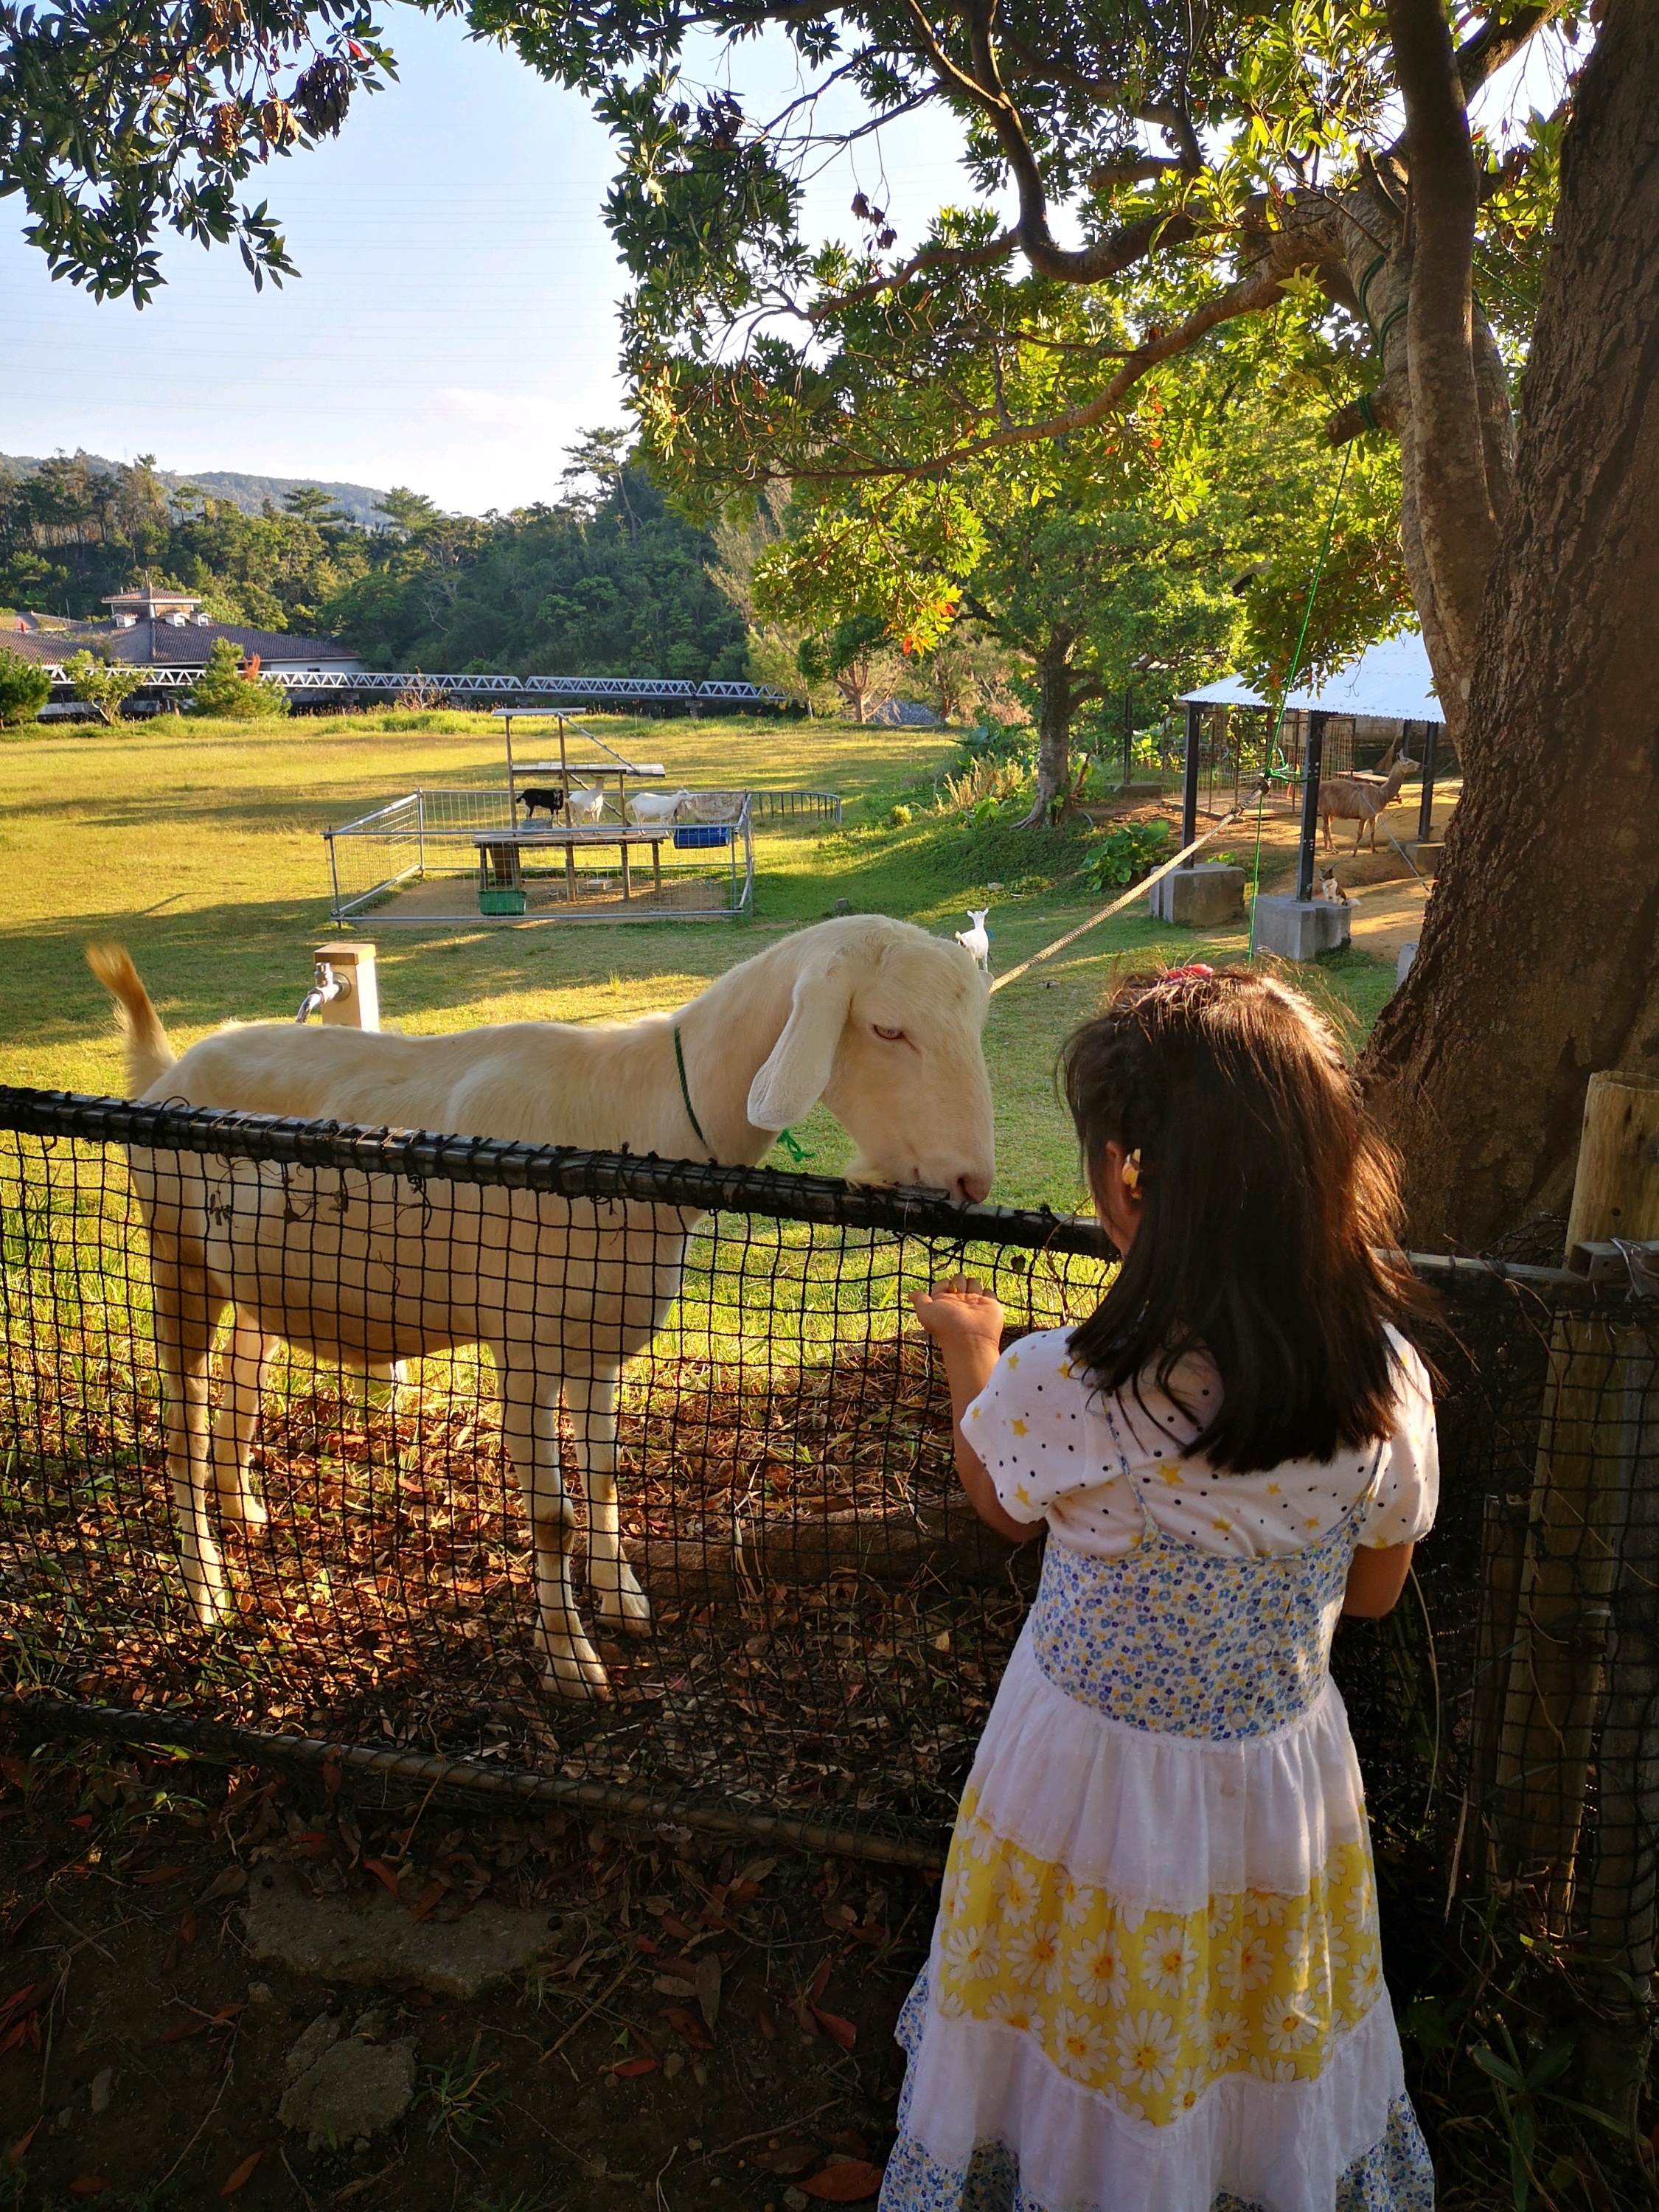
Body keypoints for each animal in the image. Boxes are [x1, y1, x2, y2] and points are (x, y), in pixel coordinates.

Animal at [91, 925, 995, 1699]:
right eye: (886, 1029)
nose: (971, 1181)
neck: (633, 1120)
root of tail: (166, 1073)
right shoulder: (525, 1342)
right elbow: (554, 1515)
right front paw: (569, 1663)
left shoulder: (600, 1341)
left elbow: (603, 1475)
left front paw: (624, 1602)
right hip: (172, 1251)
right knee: (181, 1421)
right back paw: (207, 1595)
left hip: (251, 1277)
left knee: (241, 1377)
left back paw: (242, 1507)